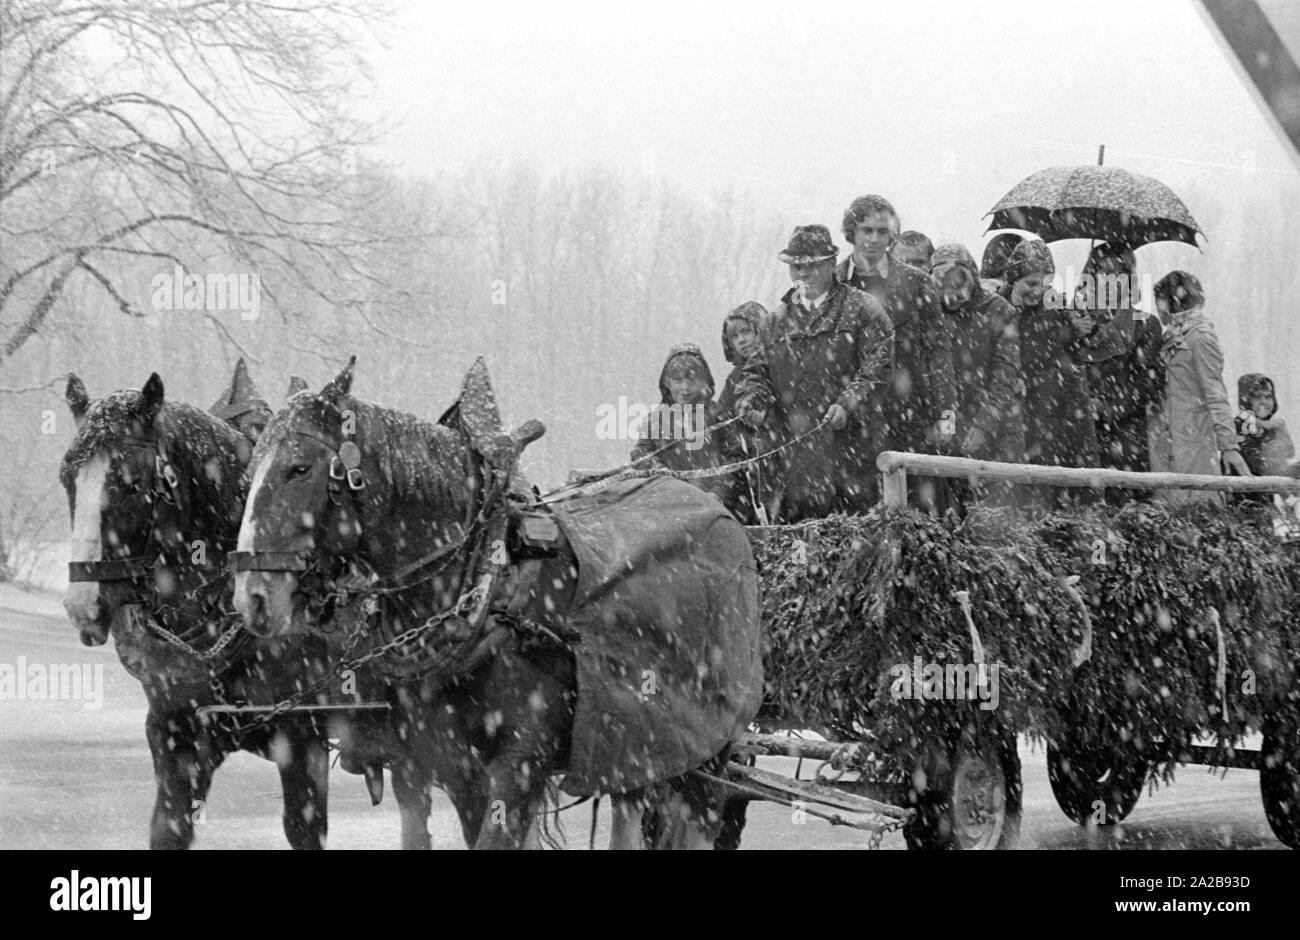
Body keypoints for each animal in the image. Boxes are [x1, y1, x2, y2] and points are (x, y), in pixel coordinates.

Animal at [61, 374, 338, 852]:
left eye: (132, 483)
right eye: (67, 478)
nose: (83, 605)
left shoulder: (304, 738)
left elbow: (304, 827)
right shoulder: (178, 735)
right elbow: (170, 827)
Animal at [232, 356, 759, 847]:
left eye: (299, 468)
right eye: (248, 471)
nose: (251, 596)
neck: (488, 593)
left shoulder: (520, 763)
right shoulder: (436, 766)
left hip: (709, 744)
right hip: (634, 742)